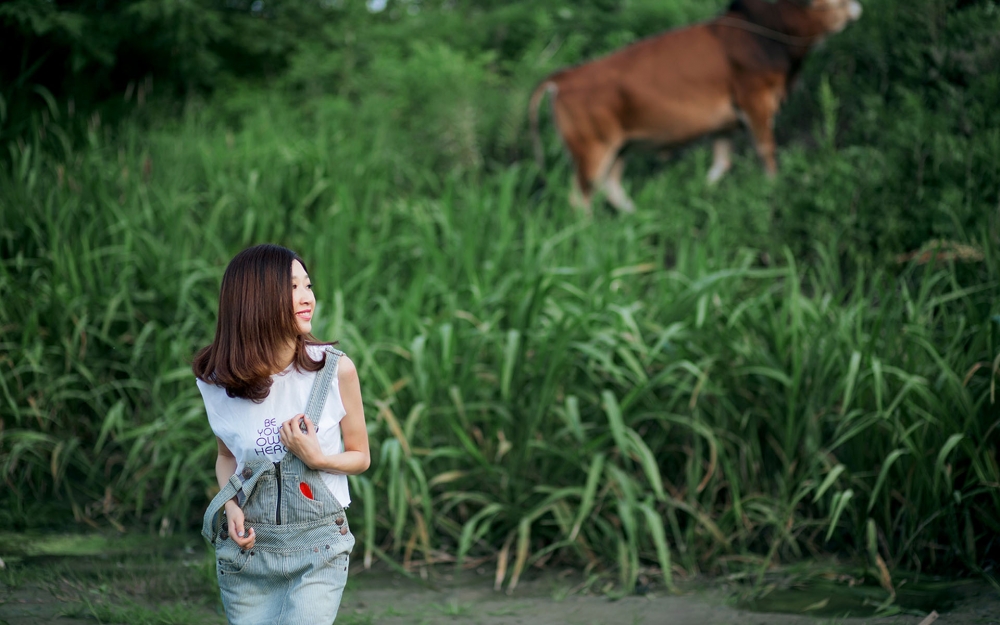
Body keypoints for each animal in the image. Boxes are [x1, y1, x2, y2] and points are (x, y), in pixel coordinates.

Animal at [528, 0, 864, 213]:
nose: (856, 6)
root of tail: (565, 77)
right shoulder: (754, 101)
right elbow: (765, 152)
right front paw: (774, 187)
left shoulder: (725, 123)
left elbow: (721, 163)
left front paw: (702, 193)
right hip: (591, 149)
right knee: (581, 198)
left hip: (619, 147)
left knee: (610, 186)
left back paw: (636, 216)